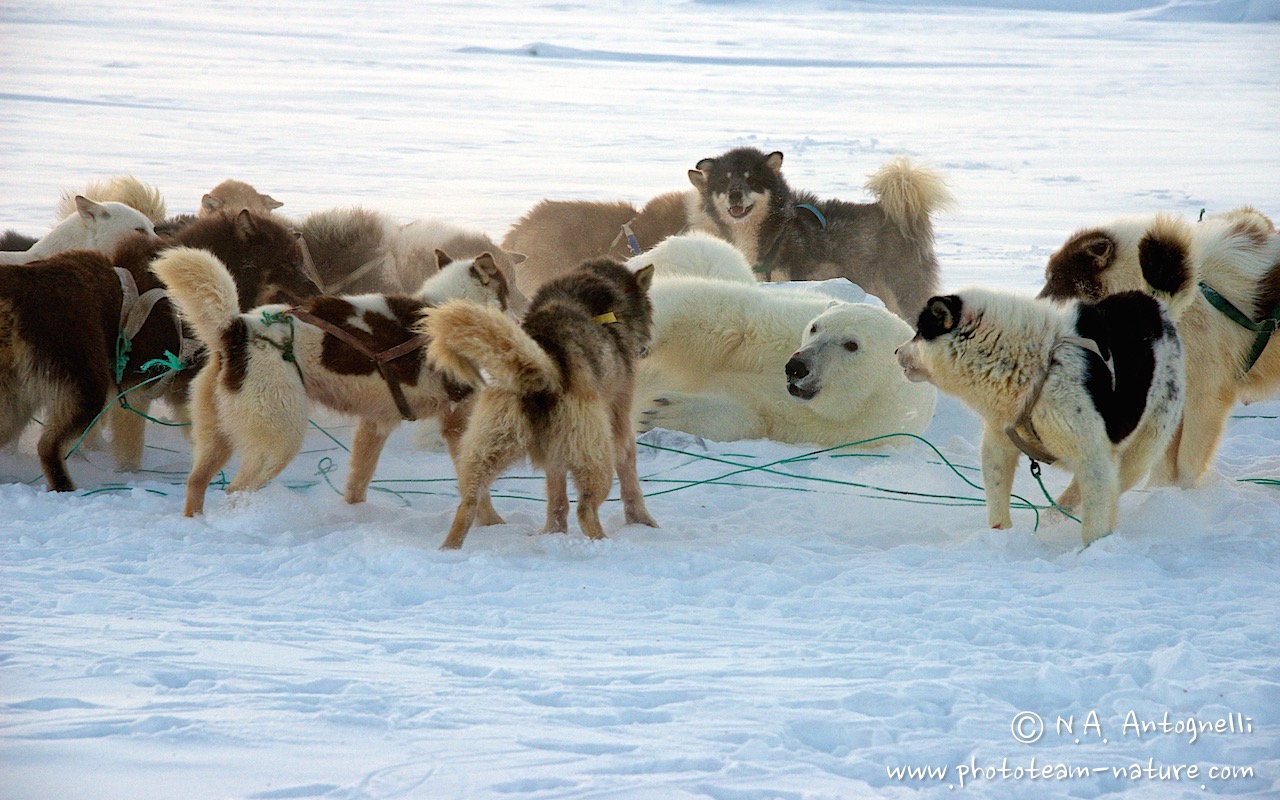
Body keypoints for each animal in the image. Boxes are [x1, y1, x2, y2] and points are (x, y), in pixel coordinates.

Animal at [152, 247, 506, 514]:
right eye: (508, 290)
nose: (515, 318)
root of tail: (236, 328)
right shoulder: (457, 425)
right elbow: (477, 490)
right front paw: (492, 525)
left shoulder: (375, 425)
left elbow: (358, 481)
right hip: (279, 439)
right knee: (236, 490)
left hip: (218, 438)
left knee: (196, 482)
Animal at [424, 258, 660, 545]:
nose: (647, 348)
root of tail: (542, 367)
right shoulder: (620, 417)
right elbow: (630, 477)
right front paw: (642, 521)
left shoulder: (553, 453)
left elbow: (556, 498)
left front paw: (553, 531)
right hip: (595, 456)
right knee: (586, 510)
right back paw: (604, 543)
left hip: (487, 446)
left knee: (468, 503)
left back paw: (449, 547)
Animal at [896, 284, 1182, 545]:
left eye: (919, 333)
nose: (897, 351)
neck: (1037, 366)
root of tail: (1152, 303)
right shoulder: (998, 445)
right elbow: (997, 498)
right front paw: (1000, 538)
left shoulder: (1093, 455)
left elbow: (1096, 519)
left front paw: (1092, 550)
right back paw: (1051, 517)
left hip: (1140, 451)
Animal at [1039, 208, 1280, 483]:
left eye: (1056, 278)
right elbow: (1164, 460)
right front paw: (1158, 489)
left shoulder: (1205, 396)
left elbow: (1187, 461)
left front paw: (1184, 491)